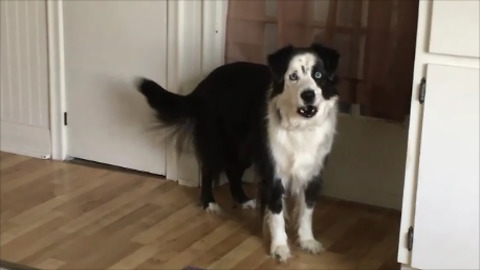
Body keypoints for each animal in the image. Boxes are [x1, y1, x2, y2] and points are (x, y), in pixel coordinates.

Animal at [135, 42, 342, 262]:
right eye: (293, 76)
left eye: (318, 75)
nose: (308, 95)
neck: (300, 127)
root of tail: (203, 85)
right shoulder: (273, 172)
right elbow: (276, 214)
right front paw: (279, 247)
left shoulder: (313, 172)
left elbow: (306, 212)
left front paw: (307, 241)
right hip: (218, 144)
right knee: (208, 170)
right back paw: (209, 203)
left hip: (245, 149)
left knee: (233, 171)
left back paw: (242, 199)